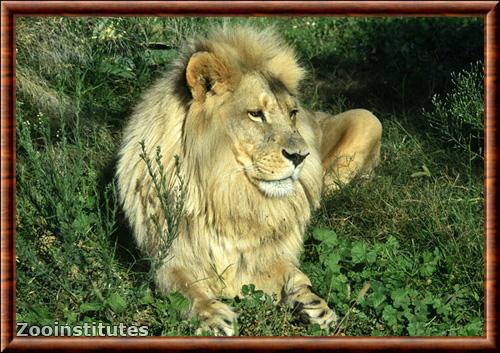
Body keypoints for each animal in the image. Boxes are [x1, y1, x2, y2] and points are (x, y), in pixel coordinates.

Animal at [117, 25, 382, 336]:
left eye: (292, 113)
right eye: (256, 114)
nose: (301, 156)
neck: (228, 191)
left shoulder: (264, 254)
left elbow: (295, 274)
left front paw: (314, 305)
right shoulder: (167, 257)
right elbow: (184, 289)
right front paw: (213, 316)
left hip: (369, 119)